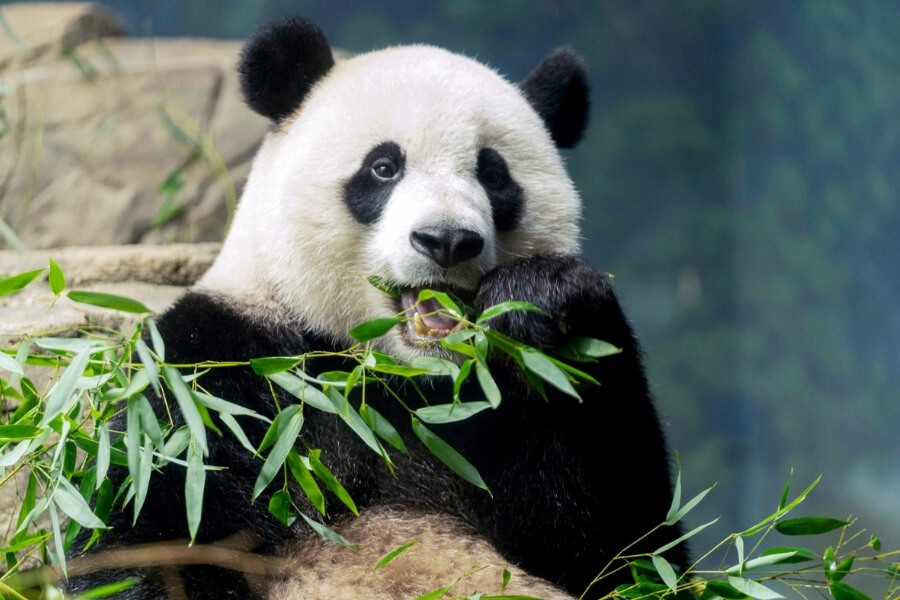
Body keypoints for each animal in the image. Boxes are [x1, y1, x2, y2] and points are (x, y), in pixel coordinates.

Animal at [66, 16, 687, 600]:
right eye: (384, 167)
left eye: (493, 173)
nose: (447, 240)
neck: (389, 371)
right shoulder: (213, 370)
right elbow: (147, 524)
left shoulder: (495, 414)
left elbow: (624, 546)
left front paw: (542, 298)